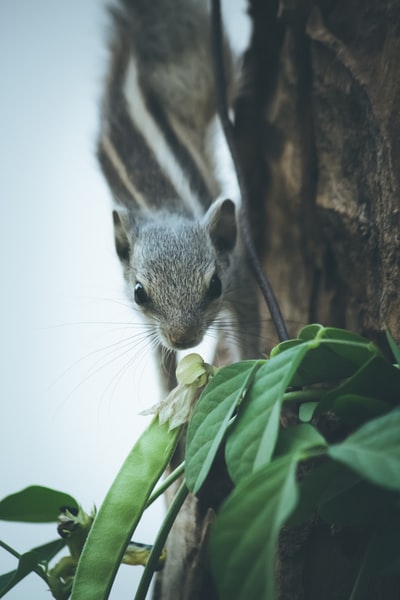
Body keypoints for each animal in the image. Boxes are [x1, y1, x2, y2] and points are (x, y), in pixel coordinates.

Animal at [97, 0, 260, 372]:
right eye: (140, 293)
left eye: (215, 286)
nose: (182, 339)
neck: (166, 210)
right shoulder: (148, 322)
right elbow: (160, 357)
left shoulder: (240, 277)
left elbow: (249, 327)